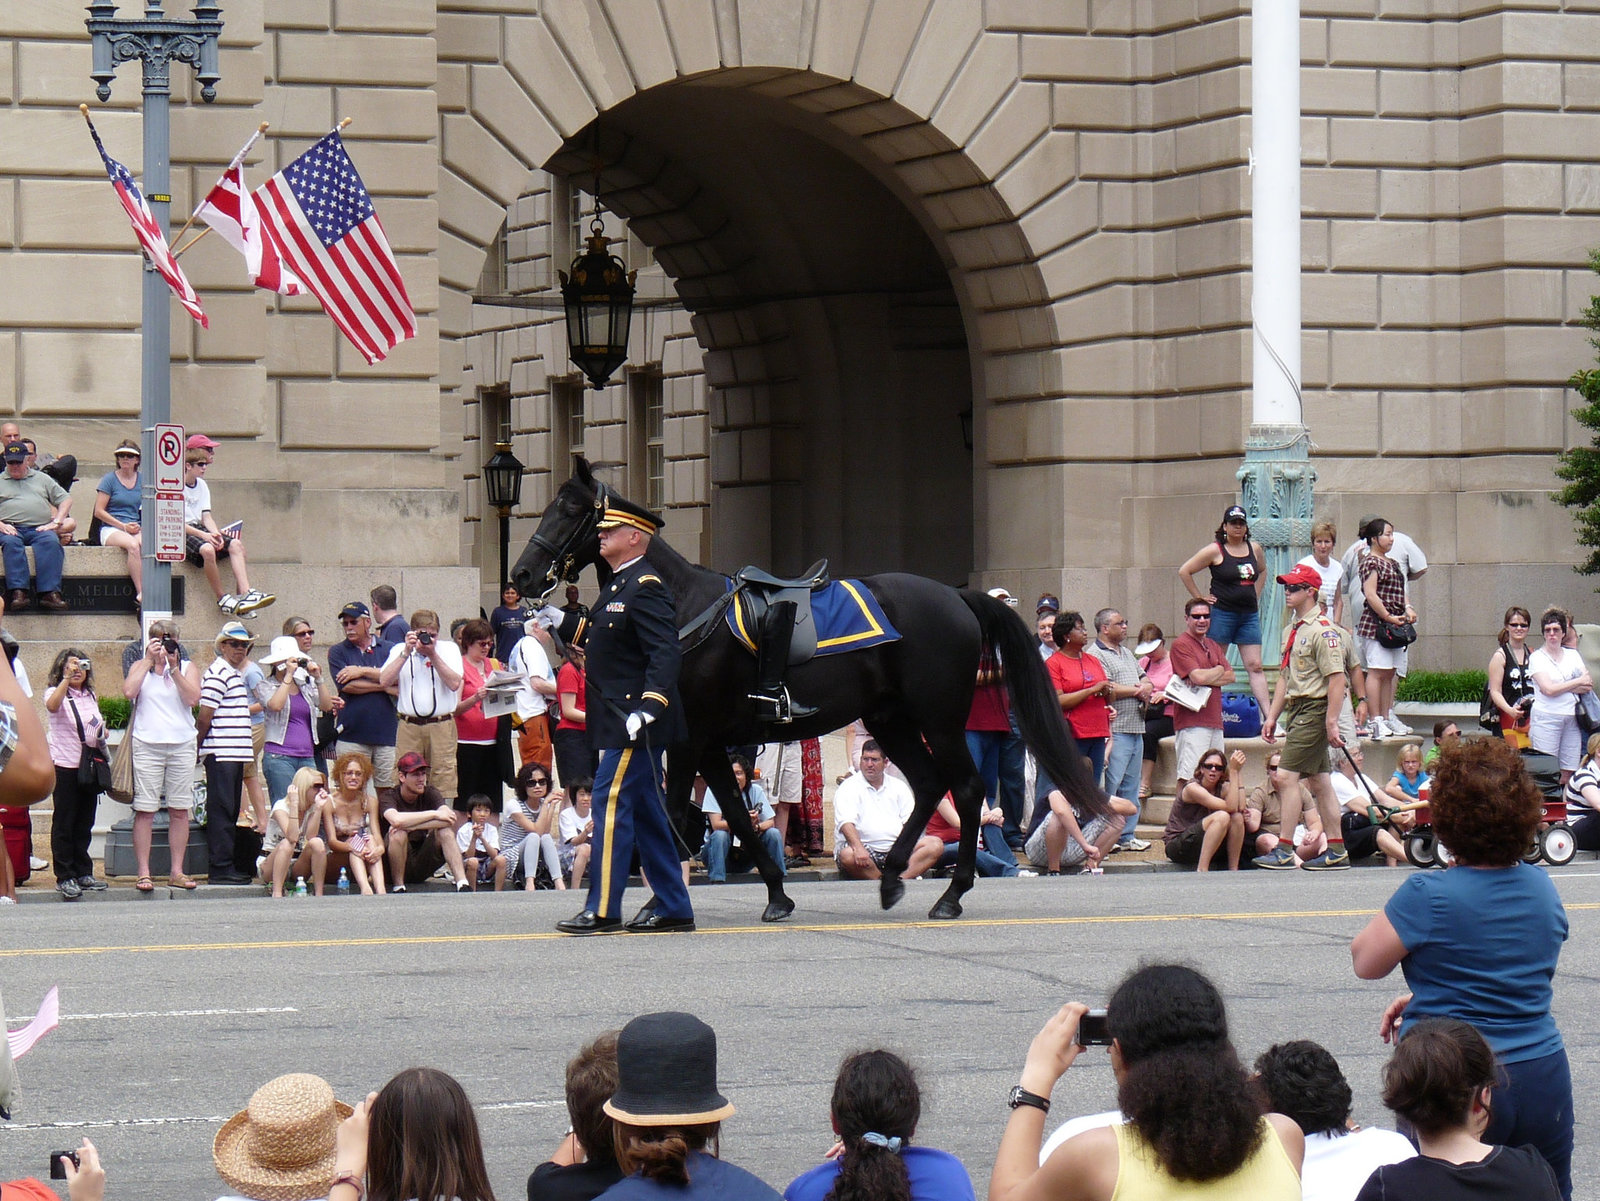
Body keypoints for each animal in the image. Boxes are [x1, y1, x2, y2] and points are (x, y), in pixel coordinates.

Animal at [515, 460, 1113, 921]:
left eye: (569, 510)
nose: (522, 577)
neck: (683, 605)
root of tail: (958, 596)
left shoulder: (687, 740)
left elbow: (675, 812)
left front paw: (658, 902)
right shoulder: (709, 744)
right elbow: (734, 817)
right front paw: (777, 895)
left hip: (938, 720)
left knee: (963, 789)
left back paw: (950, 894)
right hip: (891, 721)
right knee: (928, 786)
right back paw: (892, 877)